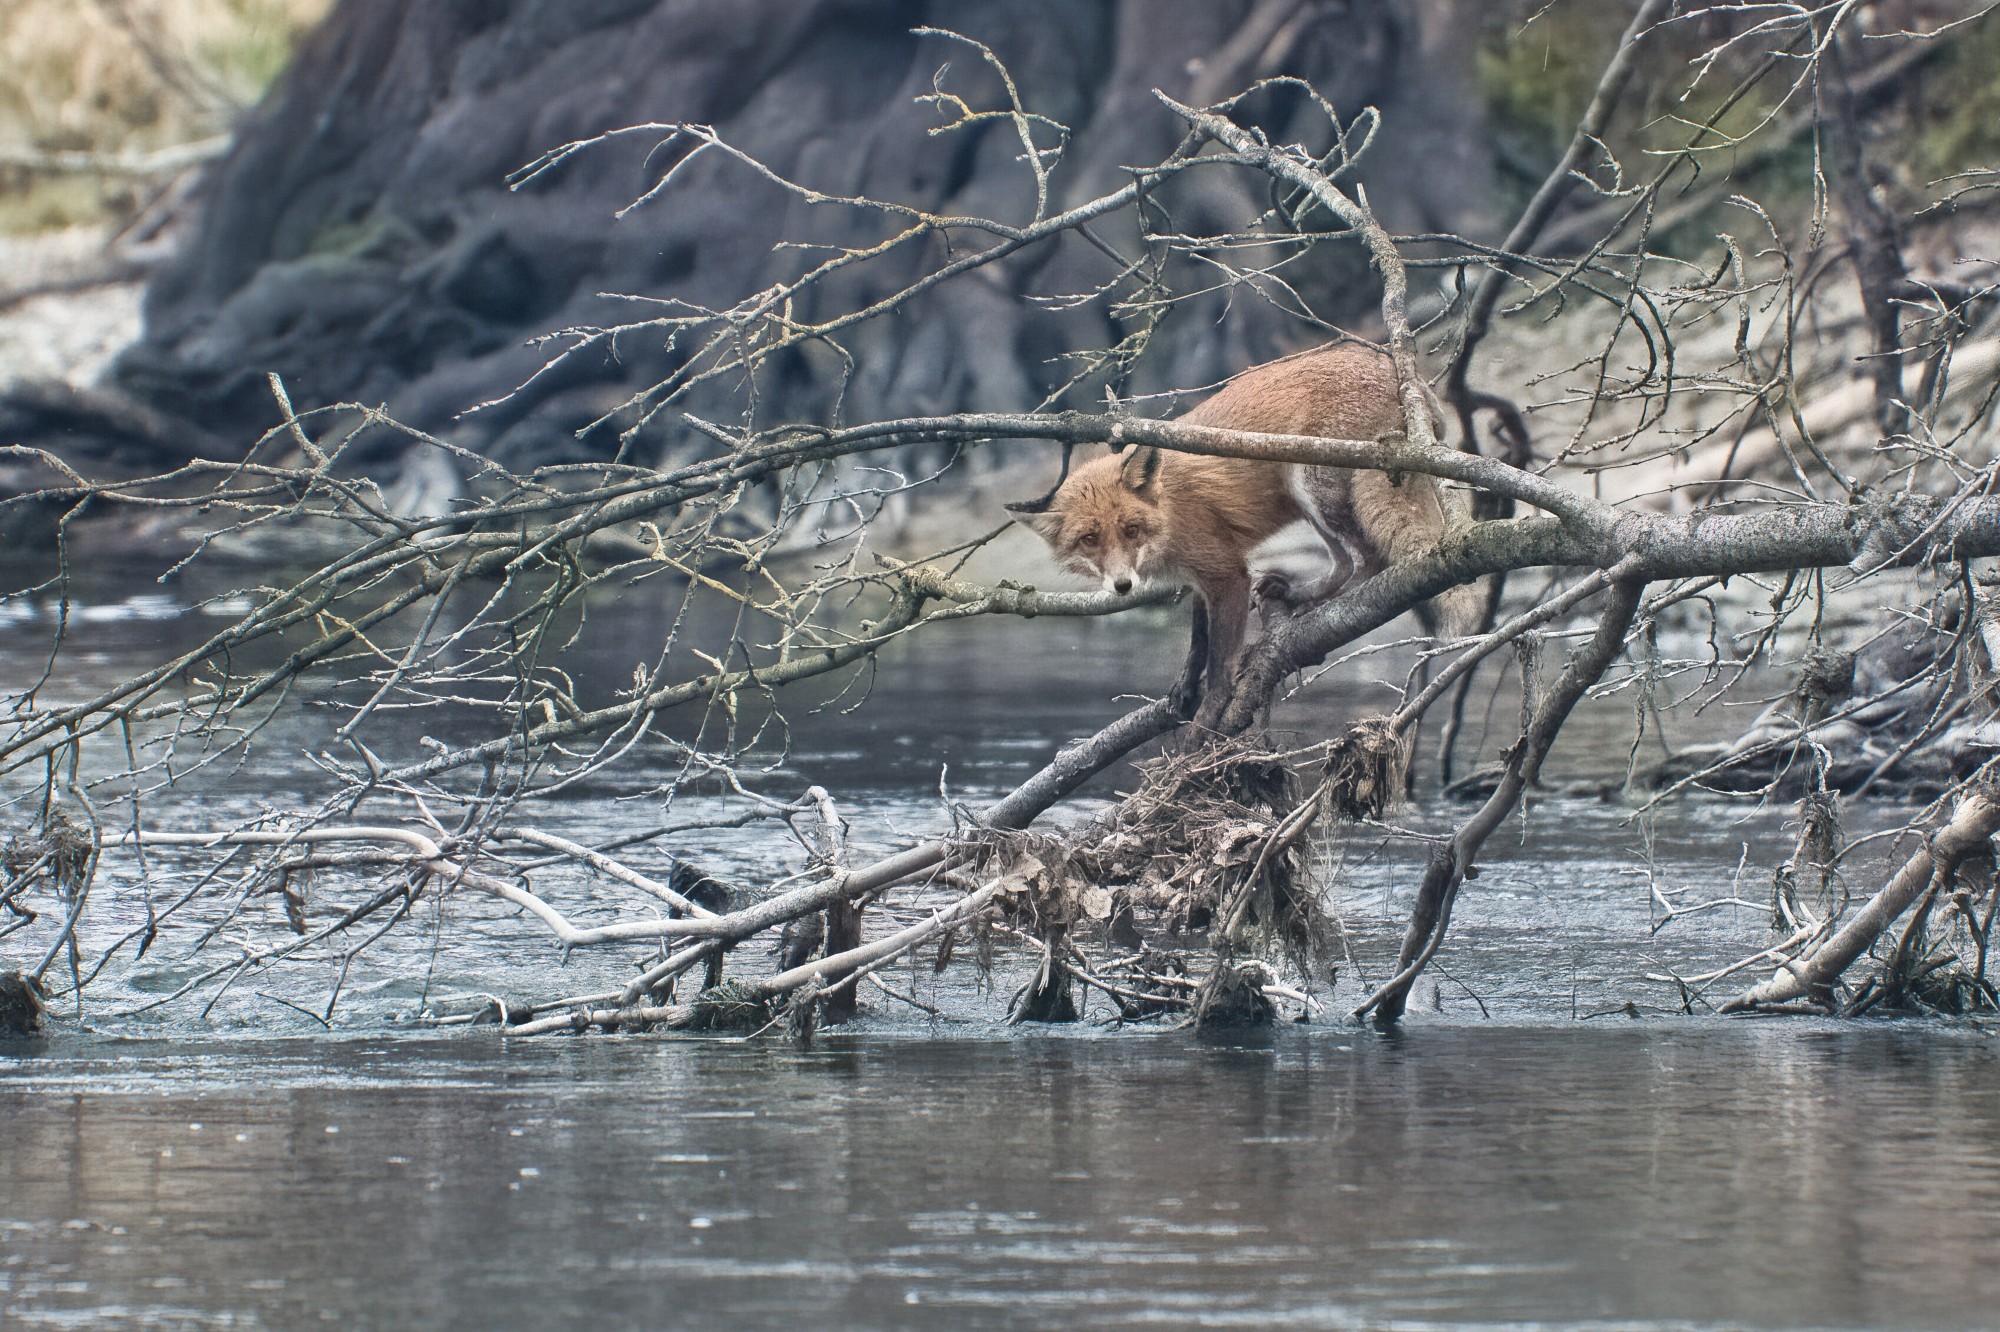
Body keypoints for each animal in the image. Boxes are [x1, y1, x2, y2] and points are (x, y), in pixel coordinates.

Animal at [1009, 340, 1478, 726]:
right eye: (1089, 540)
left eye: (1131, 529)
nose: (1123, 586)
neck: (1169, 511)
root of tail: (1410, 383)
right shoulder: (1200, 578)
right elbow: (1198, 643)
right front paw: (1185, 688)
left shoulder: (1227, 572)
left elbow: (1220, 662)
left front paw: (1207, 719)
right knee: (1345, 562)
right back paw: (1302, 598)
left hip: (1312, 481)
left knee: (1368, 560)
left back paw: (1327, 610)